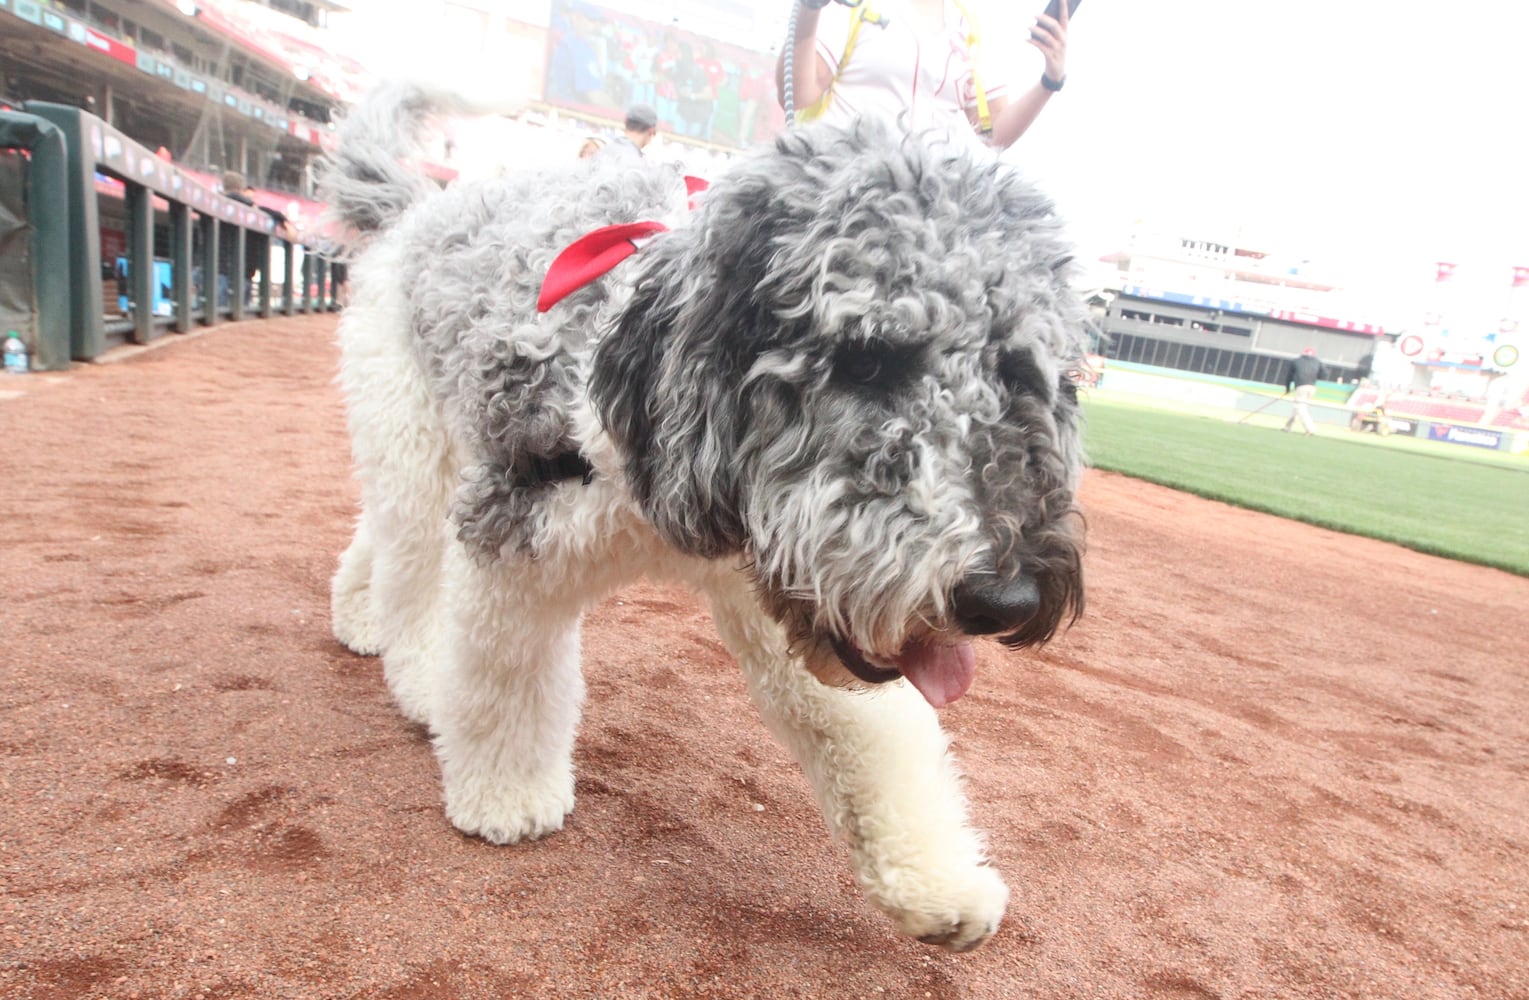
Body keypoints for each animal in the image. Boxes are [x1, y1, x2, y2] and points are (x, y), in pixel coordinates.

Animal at [322, 82, 1088, 954]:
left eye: (1019, 369)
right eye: (865, 359)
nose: (1005, 599)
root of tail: (419, 206)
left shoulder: (780, 592)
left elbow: (870, 735)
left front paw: (938, 883)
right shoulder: (518, 529)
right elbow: (505, 679)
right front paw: (506, 796)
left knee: (376, 544)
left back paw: (358, 619)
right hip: (411, 434)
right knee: (410, 564)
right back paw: (418, 673)